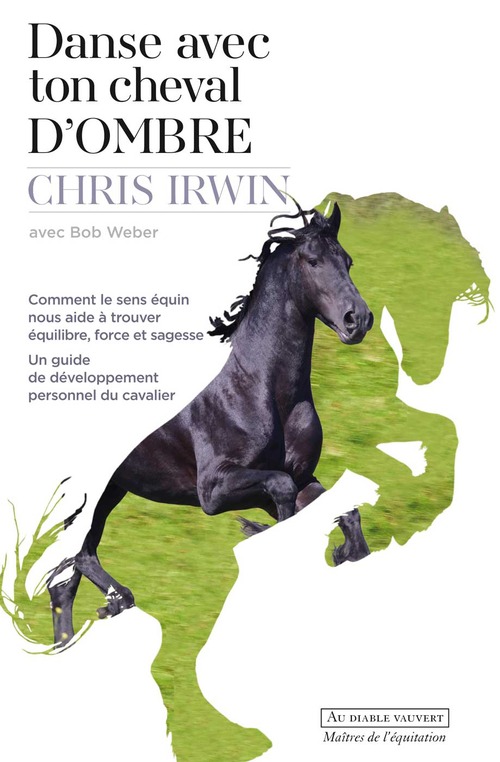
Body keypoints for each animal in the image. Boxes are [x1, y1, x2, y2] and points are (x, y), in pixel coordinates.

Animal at [48, 202, 374, 644]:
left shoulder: (301, 477)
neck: (259, 386)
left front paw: (345, 555)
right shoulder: (215, 490)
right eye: (312, 261)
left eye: (349, 262)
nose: (358, 319)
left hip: (110, 490)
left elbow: (346, 514)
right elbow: (281, 491)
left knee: (65, 583)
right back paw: (116, 602)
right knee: (77, 561)